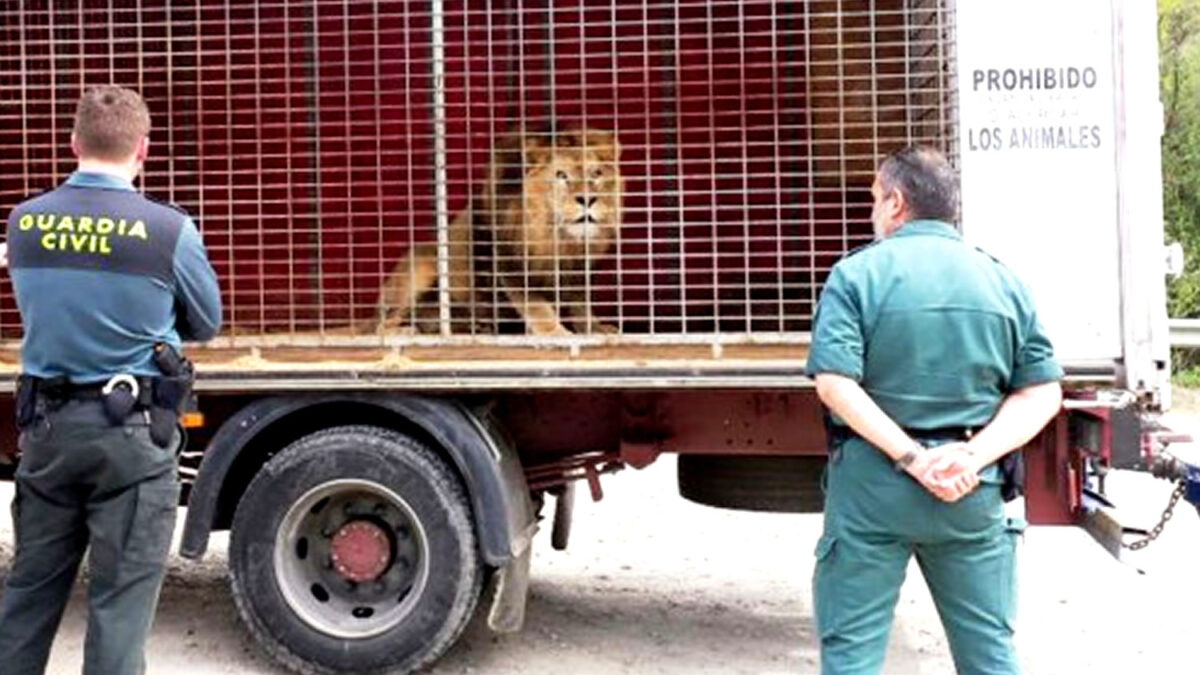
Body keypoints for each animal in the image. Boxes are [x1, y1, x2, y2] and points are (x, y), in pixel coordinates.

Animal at [369, 125, 624, 333]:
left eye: (596, 174)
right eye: (561, 175)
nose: (587, 199)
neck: (556, 236)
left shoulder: (579, 268)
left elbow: (581, 304)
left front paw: (594, 329)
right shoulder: (509, 261)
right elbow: (535, 305)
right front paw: (555, 333)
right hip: (423, 266)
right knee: (380, 324)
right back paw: (404, 331)